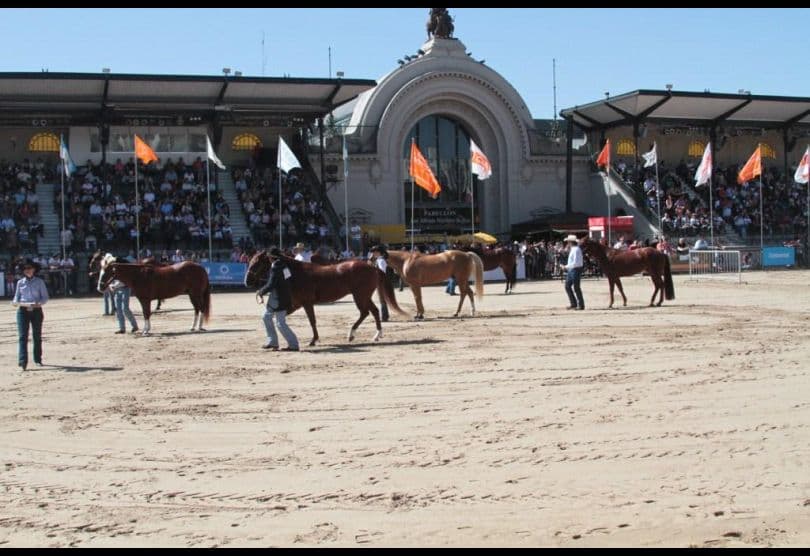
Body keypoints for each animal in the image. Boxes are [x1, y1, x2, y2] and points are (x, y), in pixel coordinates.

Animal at [240, 251, 404, 346]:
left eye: (256, 263)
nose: (247, 282)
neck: (295, 274)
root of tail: (373, 267)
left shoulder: (307, 303)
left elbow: (312, 321)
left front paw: (314, 340)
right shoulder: (296, 304)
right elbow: (280, 316)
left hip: (360, 296)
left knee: (366, 312)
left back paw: (352, 335)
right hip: (363, 296)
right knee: (374, 311)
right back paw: (375, 336)